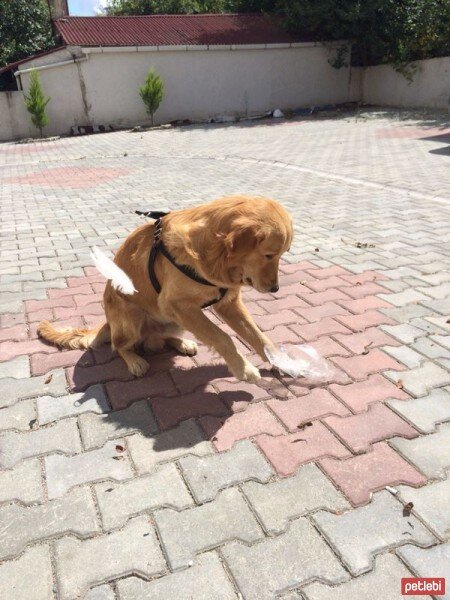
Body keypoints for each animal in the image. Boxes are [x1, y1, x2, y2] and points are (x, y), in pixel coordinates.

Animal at [37, 197, 292, 384]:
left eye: (282, 254)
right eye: (269, 255)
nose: (275, 288)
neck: (211, 254)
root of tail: (108, 324)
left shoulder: (227, 303)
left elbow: (258, 336)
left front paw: (281, 361)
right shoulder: (177, 304)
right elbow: (223, 337)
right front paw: (244, 369)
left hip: (173, 321)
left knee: (162, 338)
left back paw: (183, 343)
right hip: (132, 316)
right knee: (119, 346)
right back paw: (135, 361)